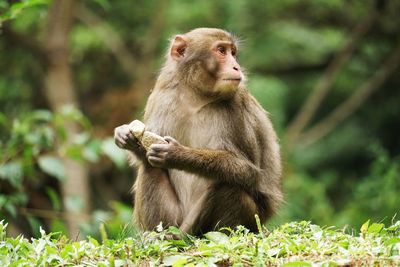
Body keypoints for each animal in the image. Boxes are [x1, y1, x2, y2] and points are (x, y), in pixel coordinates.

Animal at [112, 27, 282, 237]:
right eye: (221, 51)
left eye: (233, 53)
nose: (236, 67)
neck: (195, 96)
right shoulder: (161, 96)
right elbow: (145, 154)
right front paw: (125, 136)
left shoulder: (235, 106)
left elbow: (248, 171)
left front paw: (177, 154)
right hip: (175, 217)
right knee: (149, 166)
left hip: (252, 221)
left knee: (228, 186)